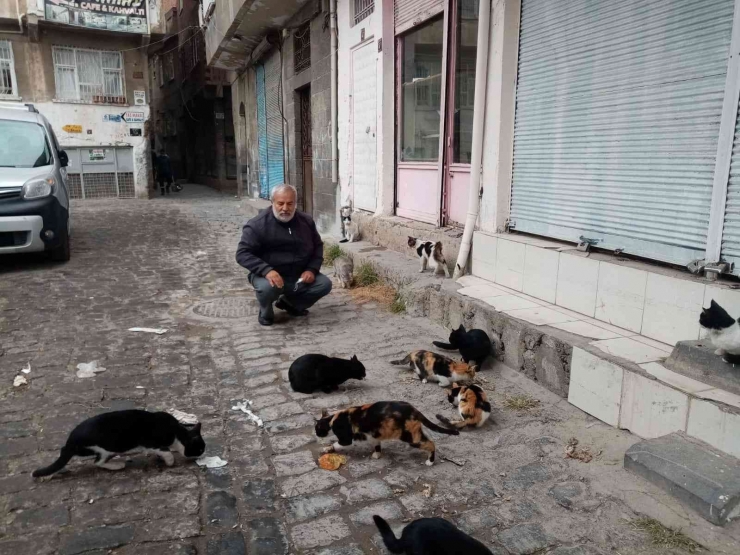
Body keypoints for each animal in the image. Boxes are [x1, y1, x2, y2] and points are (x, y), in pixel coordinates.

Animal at [32, 408, 205, 478]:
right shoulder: (152, 442)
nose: (202, 455)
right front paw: (169, 461)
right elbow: (165, 451)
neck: (176, 431)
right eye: (200, 449)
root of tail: (70, 442)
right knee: (97, 462)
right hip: (104, 448)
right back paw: (117, 465)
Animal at [316, 402, 460, 466]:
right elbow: (377, 445)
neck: (332, 420)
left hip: (411, 437)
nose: (316, 434)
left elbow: (337, 444)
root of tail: (413, 409)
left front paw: (328, 448)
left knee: (431, 443)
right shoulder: (374, 435)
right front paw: (377, 454)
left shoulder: (345, 439)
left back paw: (430, 461)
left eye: (317, 429)